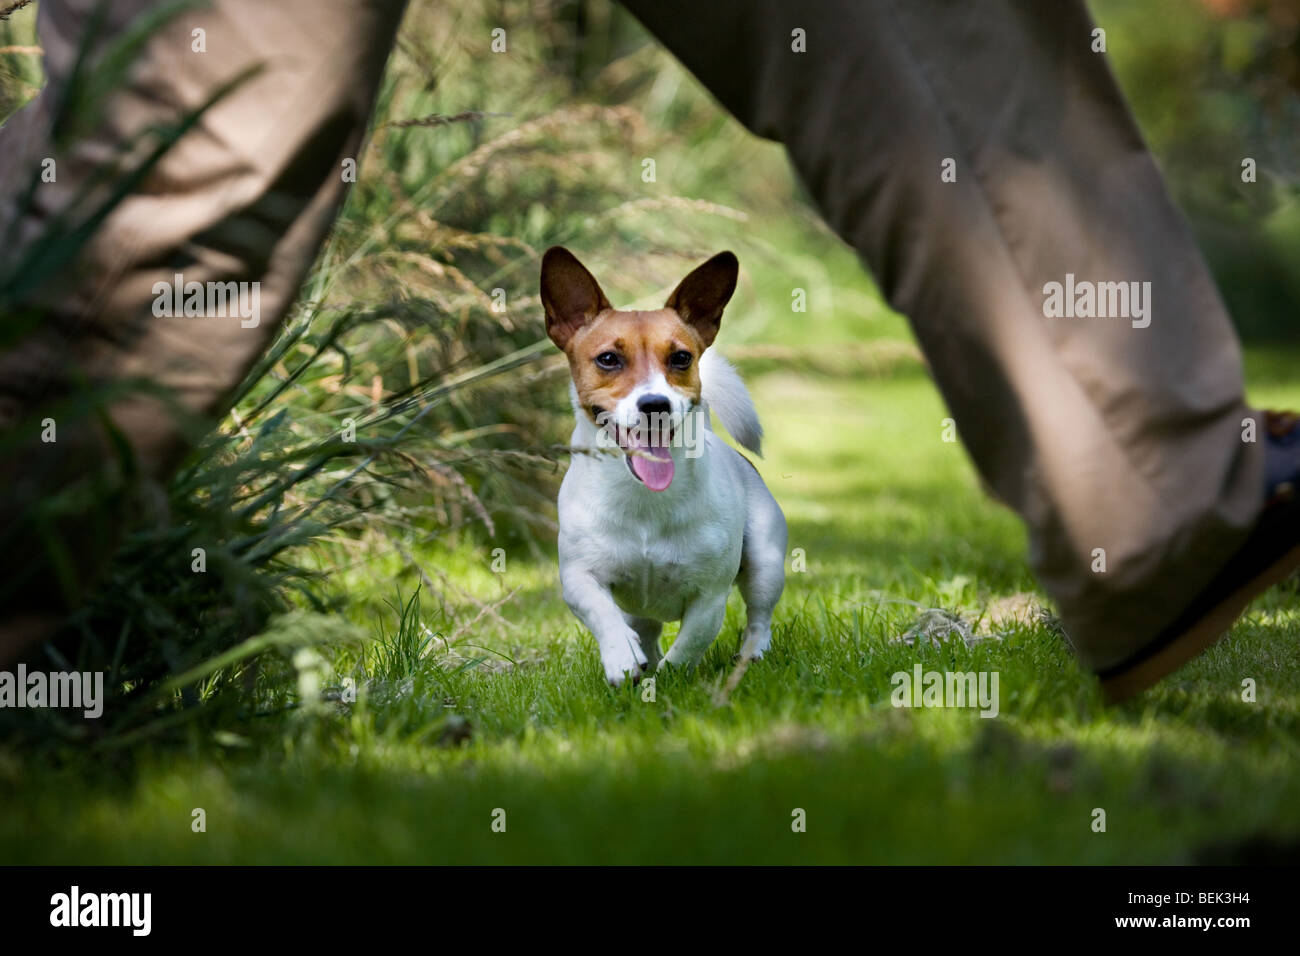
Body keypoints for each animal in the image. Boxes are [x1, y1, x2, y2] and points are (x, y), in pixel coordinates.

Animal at [535, 247, 785, 686]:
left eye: (681, 357)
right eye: (608, 359)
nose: (655, 404)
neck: (643, 500)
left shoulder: (710, 596)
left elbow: (690, 643)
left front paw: (671, 678)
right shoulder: (579, 578)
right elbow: (603, 613)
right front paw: (622, 656)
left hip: (766, 562)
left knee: (759, 615)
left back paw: (751, 654)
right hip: (641, 606)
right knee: (645, 628)